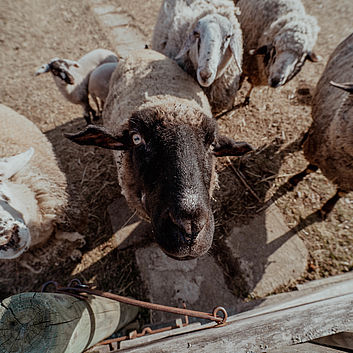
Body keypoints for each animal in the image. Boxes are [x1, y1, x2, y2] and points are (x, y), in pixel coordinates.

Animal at [296, 31, 352, 216]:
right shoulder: (316, 152)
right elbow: (309, 169)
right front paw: (293, 180)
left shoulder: (348, 183)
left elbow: (339, 194)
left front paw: (326, 209)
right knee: (311, 126)